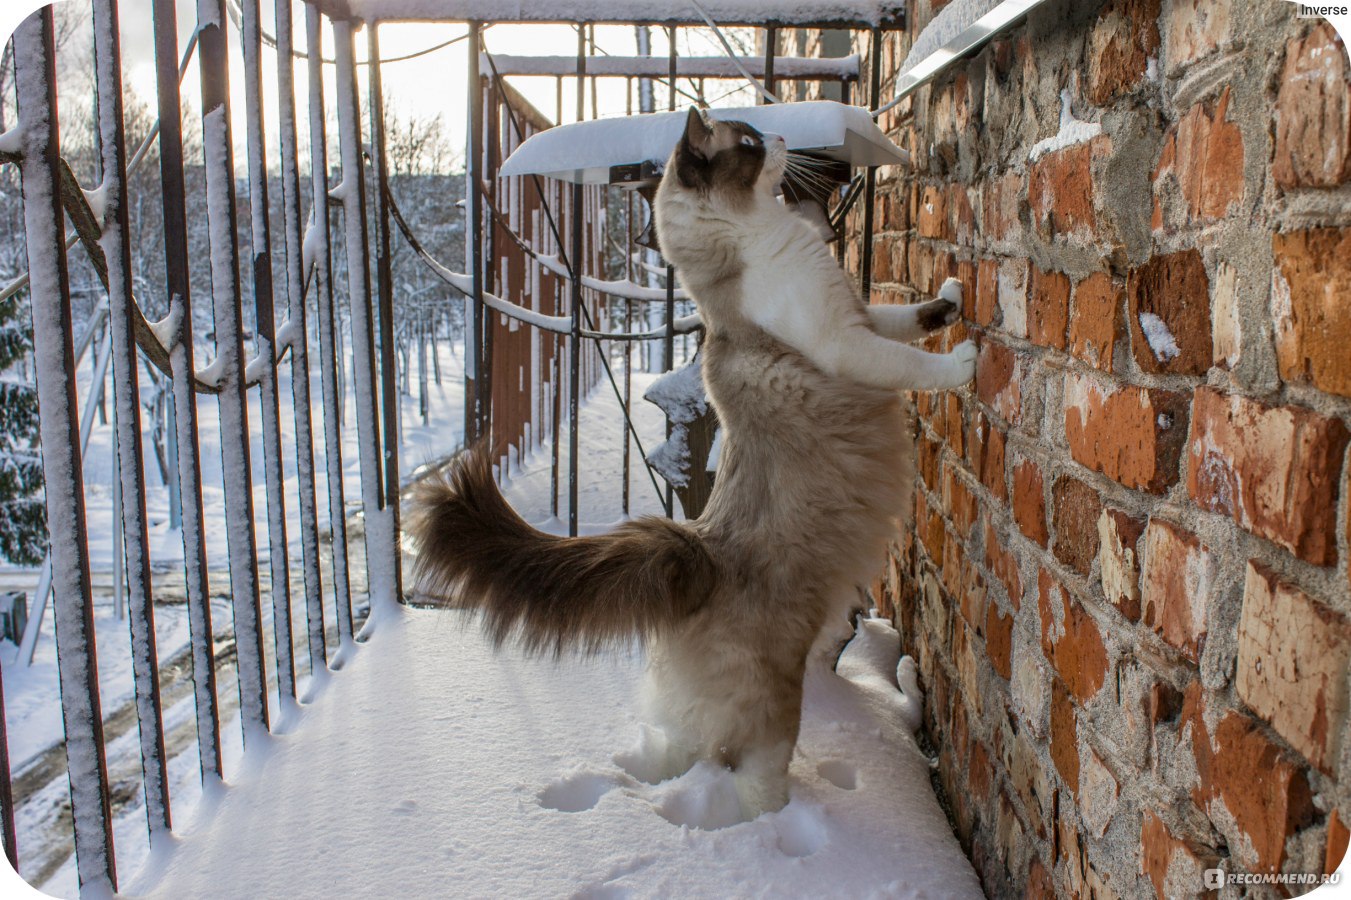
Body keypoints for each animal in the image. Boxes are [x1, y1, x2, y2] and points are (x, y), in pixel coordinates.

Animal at [405, 106, 978, 821]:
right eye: (751, 143)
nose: (783, 137)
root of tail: (697, 550)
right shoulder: (848, 344)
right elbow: (913, 362)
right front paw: (966, 362)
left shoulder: (862, 314)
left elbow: (910, 317)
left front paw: (953, 298)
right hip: (775, 714)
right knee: (751, 785)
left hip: (692, 720)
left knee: (676, 757)